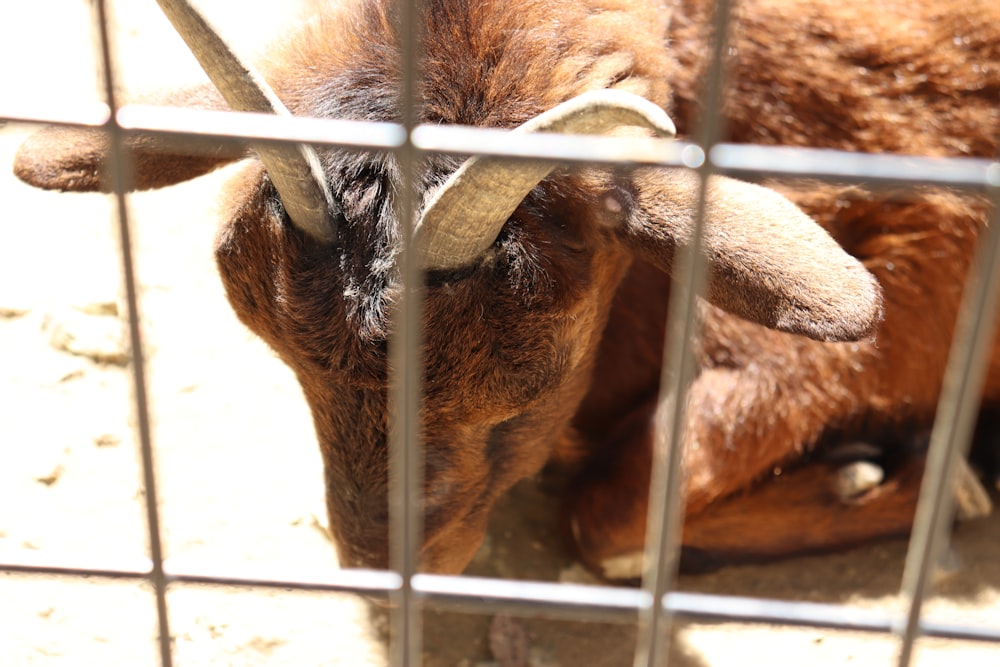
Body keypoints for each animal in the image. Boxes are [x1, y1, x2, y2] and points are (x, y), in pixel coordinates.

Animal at [9, 0, 1000, 580]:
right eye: (290, 368)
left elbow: (612, 520)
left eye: (518, 399)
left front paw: (924, 484)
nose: (384, 567)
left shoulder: (926, 274)